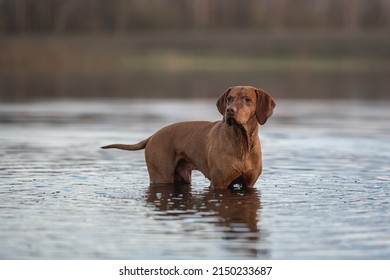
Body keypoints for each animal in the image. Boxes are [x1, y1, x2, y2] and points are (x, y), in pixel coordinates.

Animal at [102, 85, 276, 188]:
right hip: (161, 176)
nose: (230, 110)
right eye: (229, 99)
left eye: (248, 100)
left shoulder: (249, 184)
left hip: (182, 175)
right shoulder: (219, 183)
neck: (241, 142)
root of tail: (152, 136)